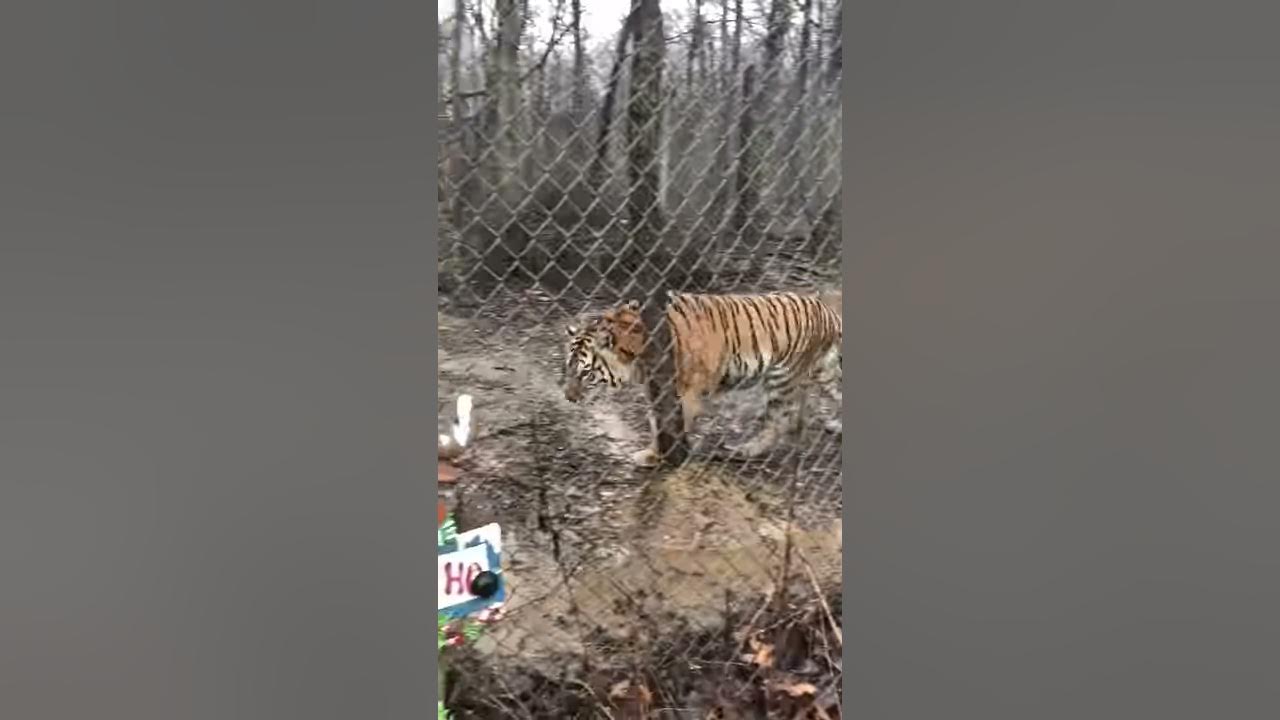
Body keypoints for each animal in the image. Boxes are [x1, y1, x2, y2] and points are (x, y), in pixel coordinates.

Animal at [562, 289, 842, 467]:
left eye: (585, 372)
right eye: (568, 368)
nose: (569, 397)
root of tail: (827, 309)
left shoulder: (684, 392)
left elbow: (670, 425)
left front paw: (658, 457)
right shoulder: (656, 389)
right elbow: (657, 423)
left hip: (782, 377)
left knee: (779, 421)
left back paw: (746, 449)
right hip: (821, 370)